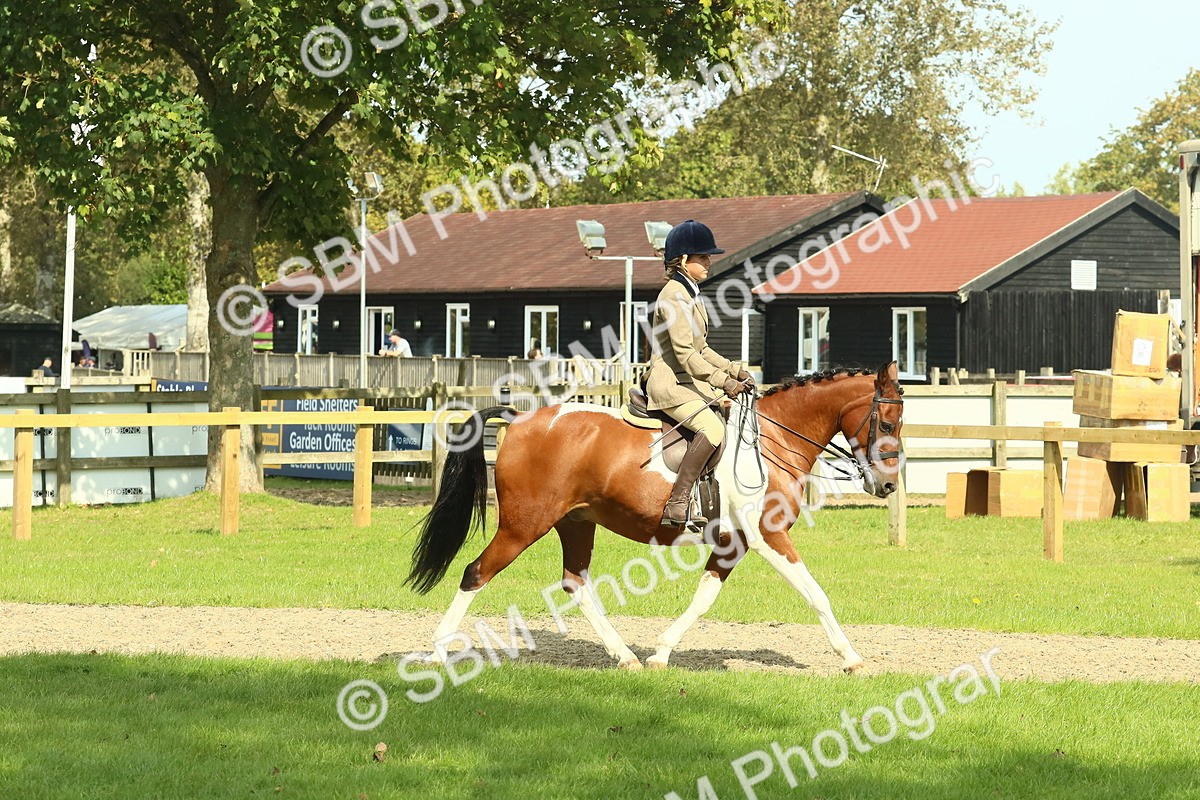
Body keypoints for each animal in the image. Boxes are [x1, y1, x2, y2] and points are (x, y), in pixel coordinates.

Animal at [406, 362, 905, 672]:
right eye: (887, 422)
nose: (886, 485)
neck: (771, 439)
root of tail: (521, 418)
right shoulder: (768, 535)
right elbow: (816, 594)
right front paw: (852, 658)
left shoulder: (734, 543)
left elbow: (703, 599)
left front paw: (661, 654)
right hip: (522, 526)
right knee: (476, 573)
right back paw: (436, 653)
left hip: (576, 522)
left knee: (575, 583)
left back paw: (625, 656)